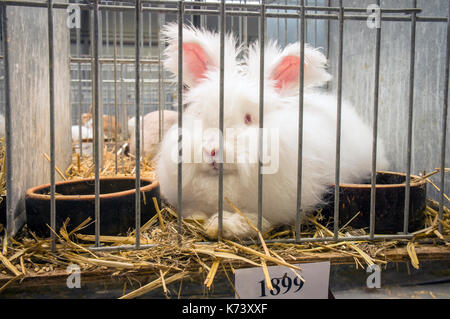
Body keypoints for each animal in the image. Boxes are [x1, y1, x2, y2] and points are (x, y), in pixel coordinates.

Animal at [155, 24, 386, 240]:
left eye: (248, 118)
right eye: (201, 114)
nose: (212, 151)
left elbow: (254, 221)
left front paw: (222, 226)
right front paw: (202, 220)